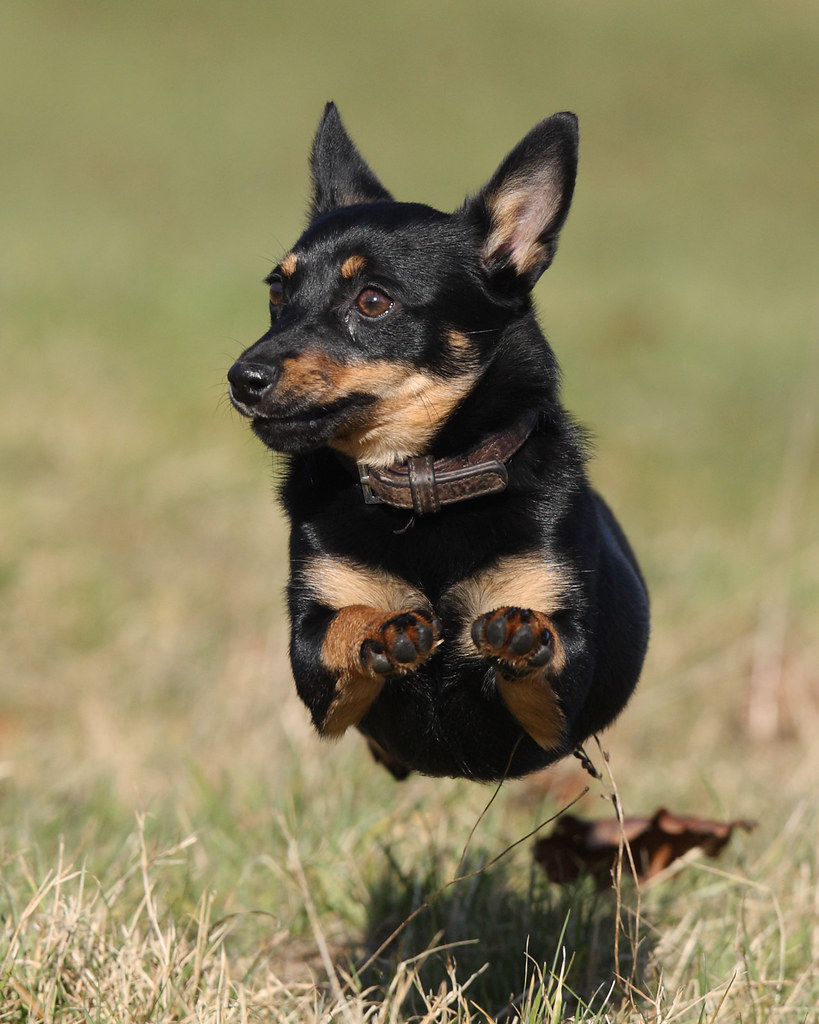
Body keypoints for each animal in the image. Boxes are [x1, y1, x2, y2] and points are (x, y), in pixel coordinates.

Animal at [227, 99, 651, 778]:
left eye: (373, 301)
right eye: (277, 291)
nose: (243, 378)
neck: (423, 483)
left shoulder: (555, 720)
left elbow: (545, 649)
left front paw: (525, 635)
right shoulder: (319, 676)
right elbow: (345, 621)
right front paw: (384, 628)